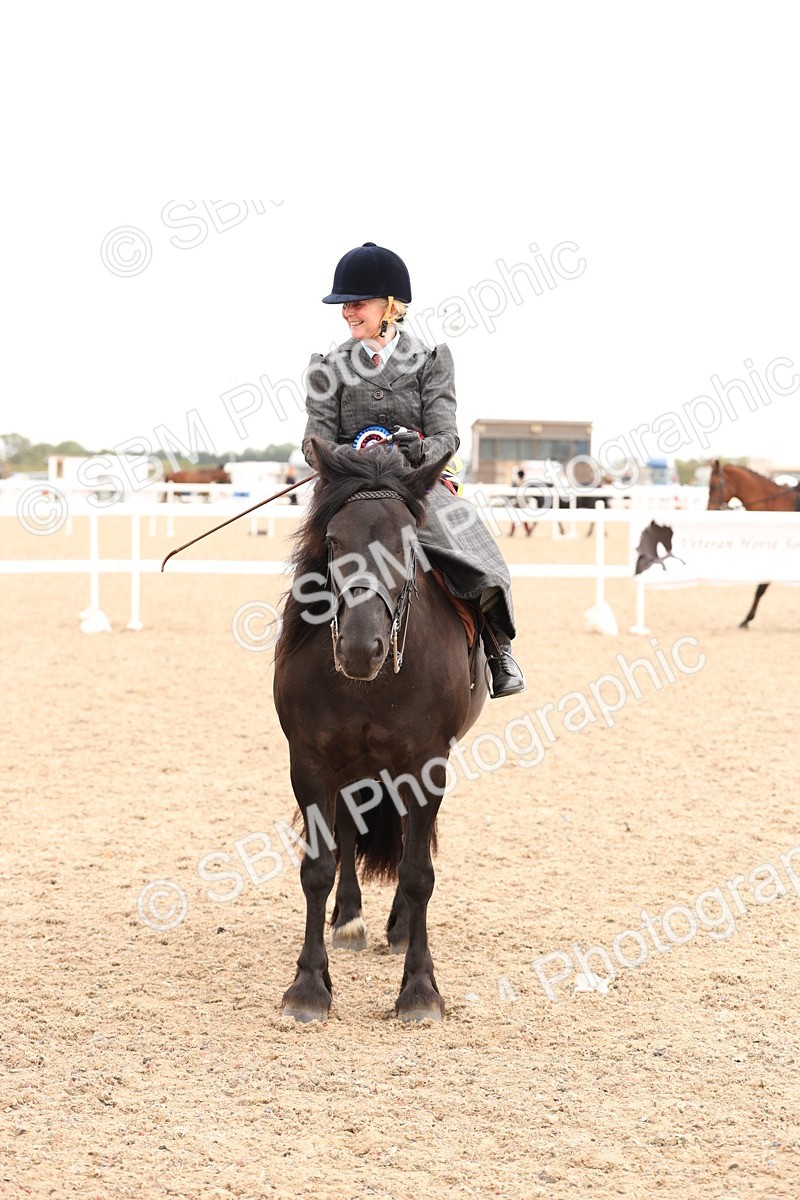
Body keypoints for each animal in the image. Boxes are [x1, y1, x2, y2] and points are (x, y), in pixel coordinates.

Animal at [273, 439, 489, 1023]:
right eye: (332, 540)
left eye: (408, 543)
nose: (358, 647)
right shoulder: (311, 763)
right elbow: (318, 867)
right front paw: (308, 986)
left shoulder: (427, 764)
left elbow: (417, 873)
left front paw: (419, 989)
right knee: (349, 832)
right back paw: (349, 918)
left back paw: (397, 926)